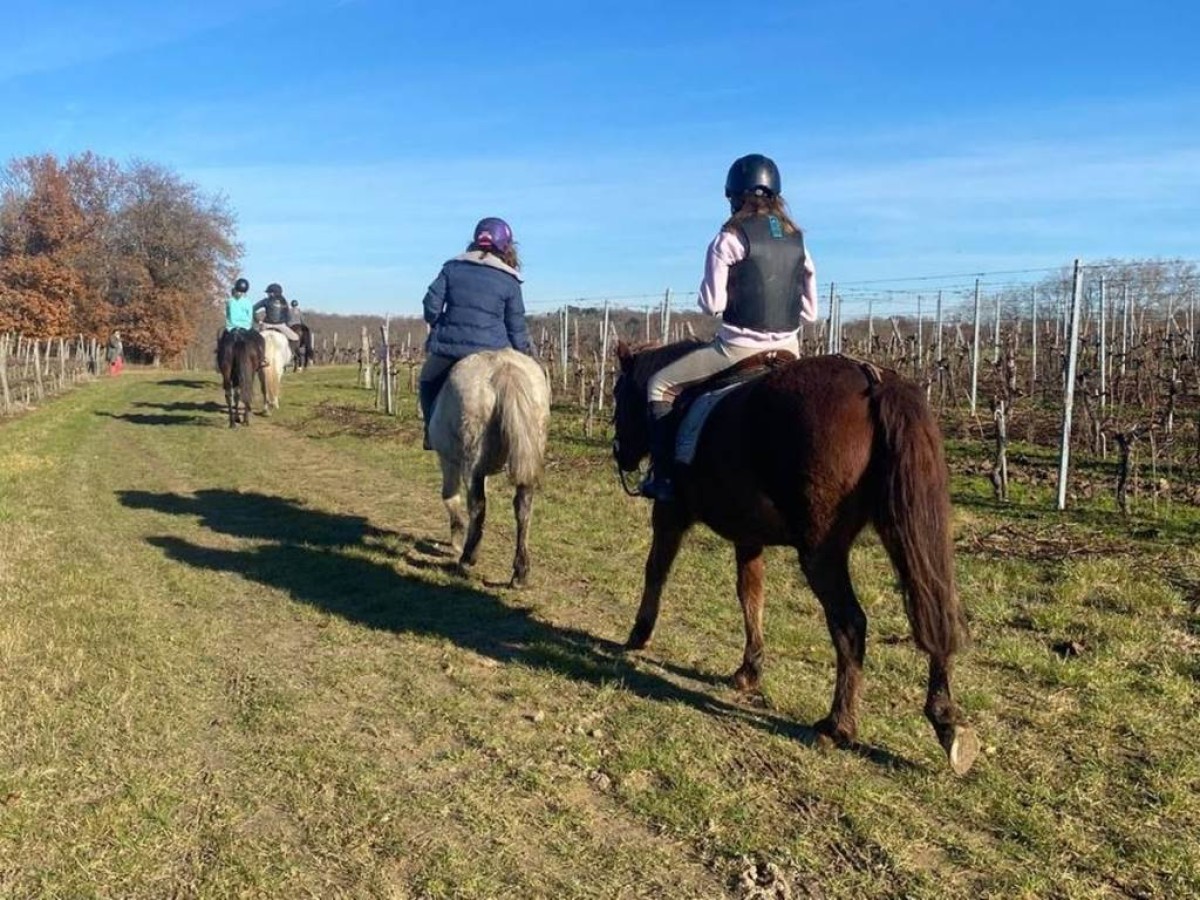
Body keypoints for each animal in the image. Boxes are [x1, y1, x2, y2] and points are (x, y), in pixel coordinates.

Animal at [428, 348, 551, 588]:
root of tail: (503, 368)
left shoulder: (448, 460)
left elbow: (450, 497)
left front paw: (457, 538)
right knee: (523, 506)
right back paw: (520, 573)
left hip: (471, 460)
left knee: (477, 505)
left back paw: (467, 557)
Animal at [611, 340, 979, 774]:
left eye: (618, 394)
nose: (620, 453)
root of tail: (873, 379)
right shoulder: (748, 535)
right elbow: (751, 594)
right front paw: (749, 669)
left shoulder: (670, 514)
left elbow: (657, 569)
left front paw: (639, 634)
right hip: (904, 529)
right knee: (934, 611)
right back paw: (947, 721)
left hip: (821, 551)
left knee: (850, 623)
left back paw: (838, 726)